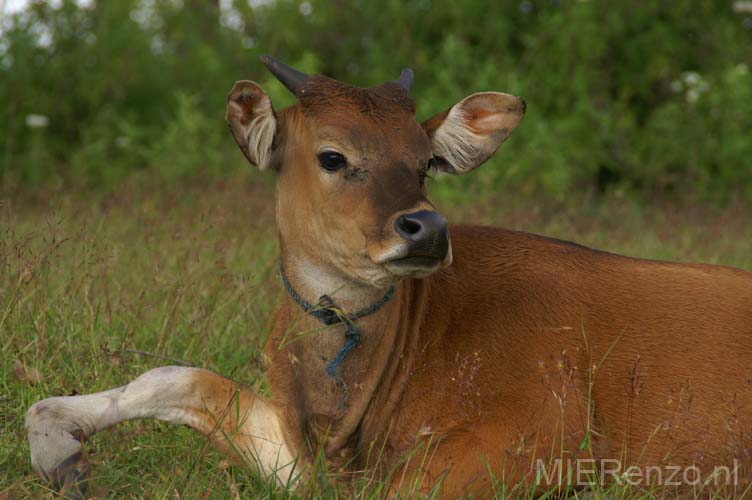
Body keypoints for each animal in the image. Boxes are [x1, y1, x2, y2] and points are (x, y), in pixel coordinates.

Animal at [25, 56, 752, 498]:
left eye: (426, 161)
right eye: (332, 156)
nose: (427, 228)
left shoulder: (543, 432)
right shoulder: (303, 452)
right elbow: (177, 378)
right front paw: (57, 444)